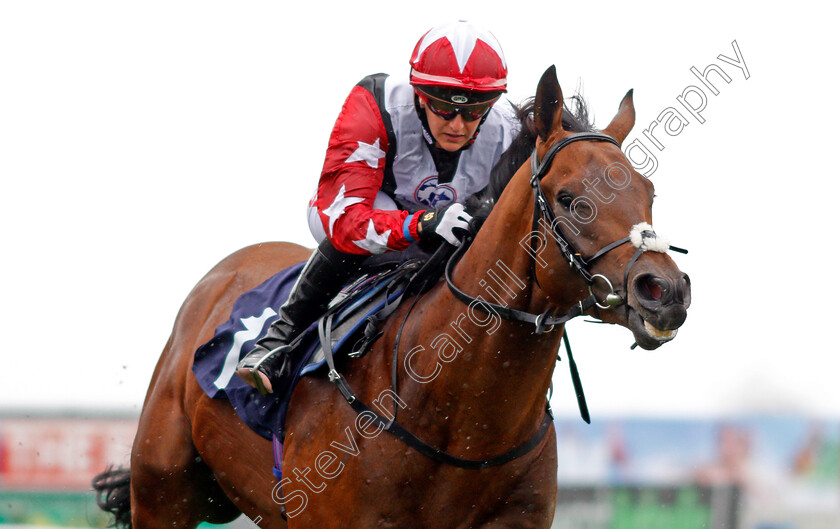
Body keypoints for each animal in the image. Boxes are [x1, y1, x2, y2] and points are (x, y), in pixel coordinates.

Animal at [95, 67, 692, 528]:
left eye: (649, 192)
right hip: (163, 493)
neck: (459, 423)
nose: (664, 290)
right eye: (569, 198)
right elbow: (350, 216)